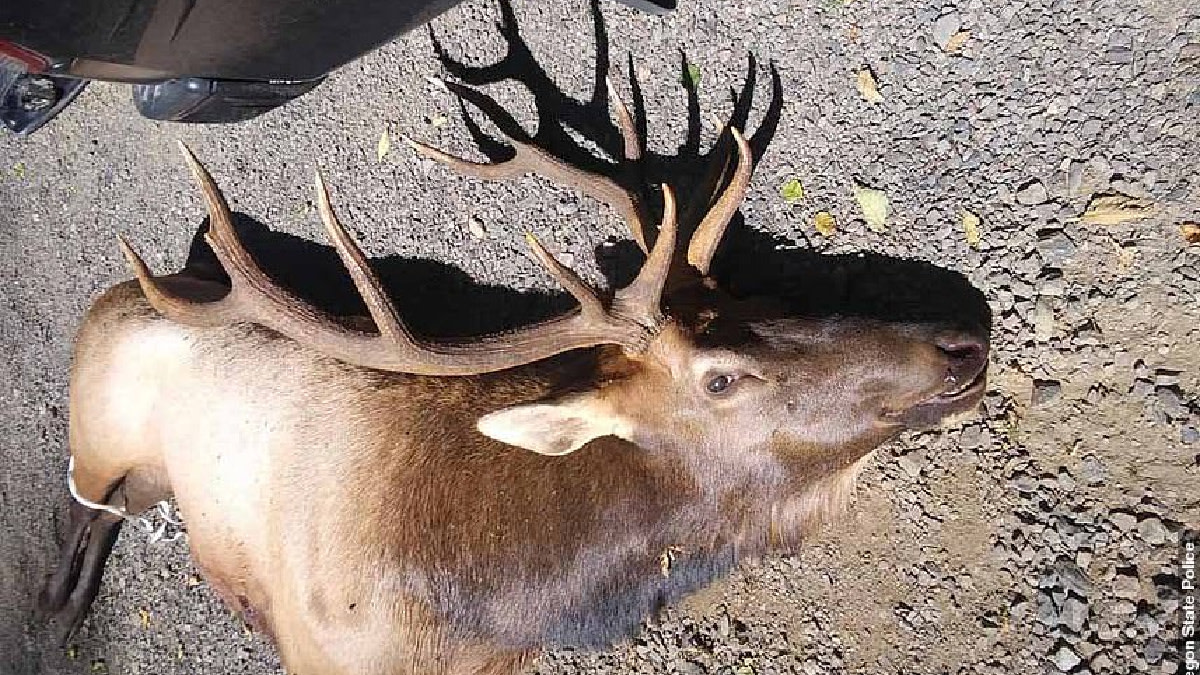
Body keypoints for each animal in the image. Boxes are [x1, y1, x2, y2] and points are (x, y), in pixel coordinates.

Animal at [38, 79, 989, 675]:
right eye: (719, 379)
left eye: (757, 293)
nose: (961, 340)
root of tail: (129, 288)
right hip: (96, 430)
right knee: (80, 504)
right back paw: (57, 603)